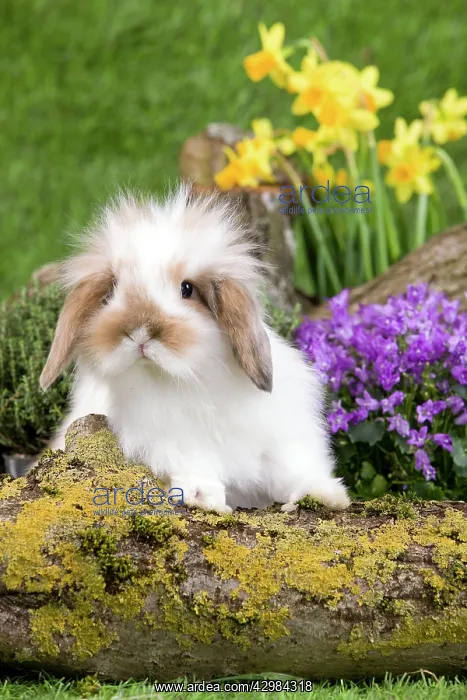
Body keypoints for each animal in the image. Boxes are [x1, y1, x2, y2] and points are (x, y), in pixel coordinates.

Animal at [40, 186, 350, 514]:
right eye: (111, 292)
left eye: (187, 289)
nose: (139, 331)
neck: (196, 380)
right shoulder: (170, 442)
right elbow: (194, 465)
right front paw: (203, 497)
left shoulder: (283, 434)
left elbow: (293, 468)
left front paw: (325, 495)